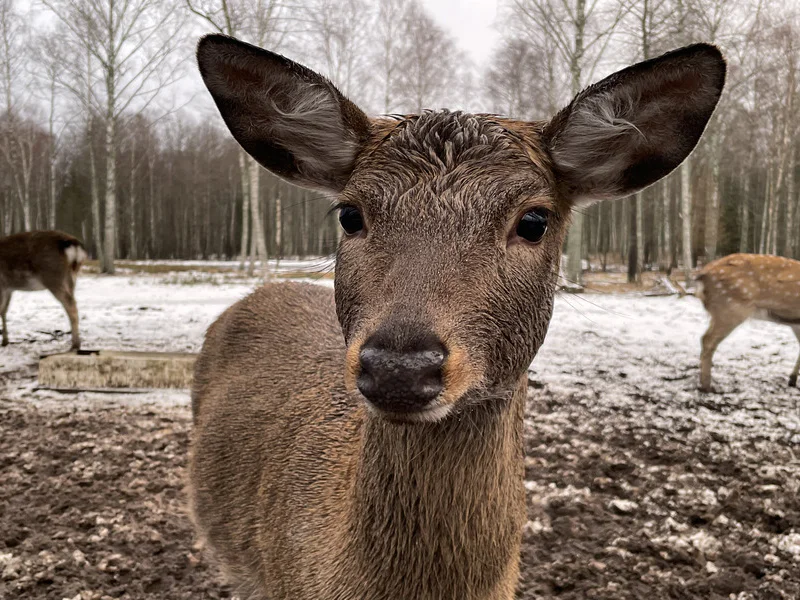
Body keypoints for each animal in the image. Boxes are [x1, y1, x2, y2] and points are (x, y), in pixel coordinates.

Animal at [696, 253, 800, 392]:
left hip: (720, 311)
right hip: (731, 309)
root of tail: (703, 273)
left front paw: (792, 380)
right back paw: (707, 386)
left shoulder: (796, 323)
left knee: (704, 338)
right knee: (708, 340)